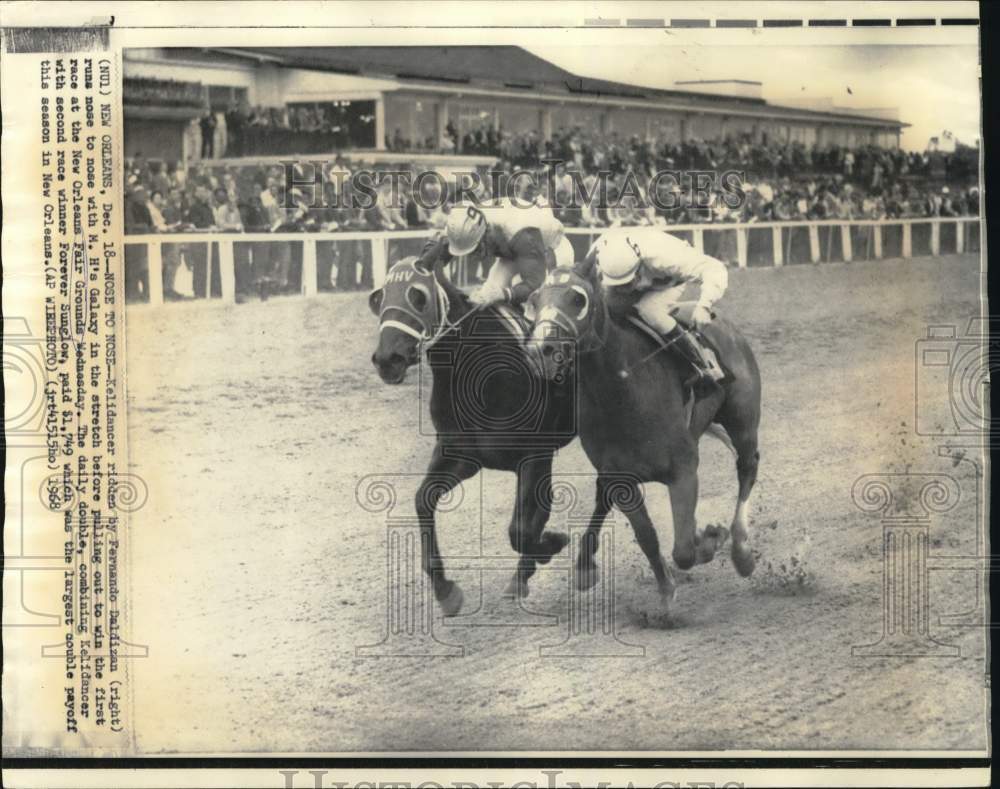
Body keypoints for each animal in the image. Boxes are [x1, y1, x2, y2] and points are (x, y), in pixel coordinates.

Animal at [370, 255, 576, 612]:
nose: (387, 359)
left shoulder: (534, 455)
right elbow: (422, 500)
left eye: (418, 296)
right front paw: (444, 589)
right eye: (380, 298)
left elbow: (521, 527)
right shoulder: (462, 455)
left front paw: (552, 543)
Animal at [528, 260, 760, 604]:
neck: (624, 389)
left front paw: (709, 541)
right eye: (534, 300)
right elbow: (648, 535)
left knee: (747, 468)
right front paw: (666, 590)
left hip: (743, 423)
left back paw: (742, 552)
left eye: (577, 298)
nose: (540, 349)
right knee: (602, 496)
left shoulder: (684, 469)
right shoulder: (621, 477)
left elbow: (684, 551)